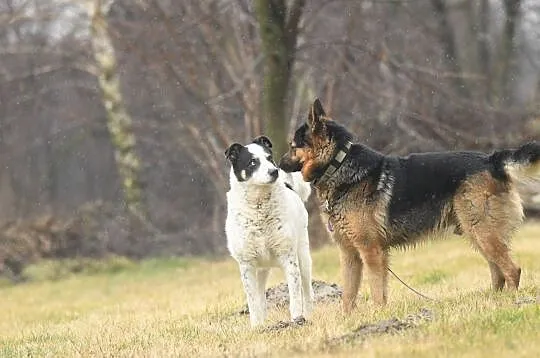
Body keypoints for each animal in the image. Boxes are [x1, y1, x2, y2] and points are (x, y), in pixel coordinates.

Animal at [225, 136, 316, 328]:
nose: (274, 171)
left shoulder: (289, 258)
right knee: (260, 297)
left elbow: (295, 297)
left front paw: (296, 320)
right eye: (253, 162)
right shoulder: (247, 265)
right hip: (261, 270)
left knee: (307, 292)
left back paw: (308, 316)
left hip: (303, 257)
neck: (259, 206)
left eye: (269, 158)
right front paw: (256, 326)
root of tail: (289, 185)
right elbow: (253, 301)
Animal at [280, 98, 540, 314]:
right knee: (497, 272)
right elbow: (349, 294)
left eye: (293, 146)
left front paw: (378, 315)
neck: (338, 164)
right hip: (478, 234)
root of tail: (491, 160)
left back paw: (511, 303)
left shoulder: (371, 252)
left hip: (483, 233)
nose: (278, 166)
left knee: (512, 270)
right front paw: (348, 320)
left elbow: (376, 289)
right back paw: (493, 301)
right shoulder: (350, 254)